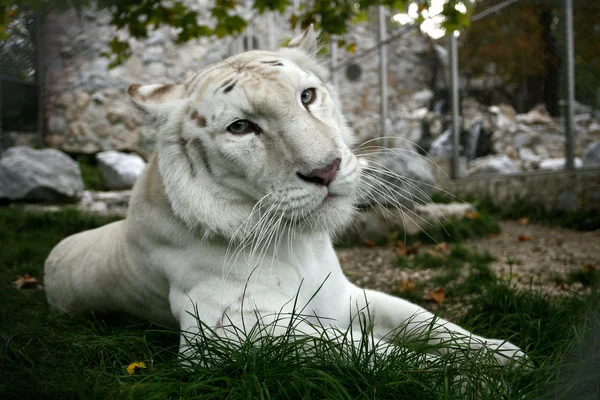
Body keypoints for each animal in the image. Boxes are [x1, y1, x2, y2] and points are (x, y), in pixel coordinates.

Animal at [42, 25, 524, 366]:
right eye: (241, 127)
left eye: (307, 96)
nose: (326, 170)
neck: (302, 243)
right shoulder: (228, 334)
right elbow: (374, 353)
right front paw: (470, 379)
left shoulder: (346, 297)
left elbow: (423, 320)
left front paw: (504, 353)